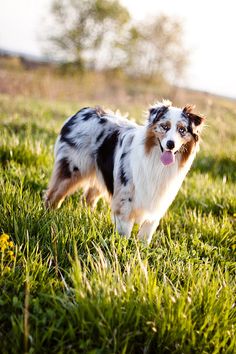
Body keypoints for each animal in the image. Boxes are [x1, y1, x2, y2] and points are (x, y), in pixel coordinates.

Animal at [45, 99, 204, 243]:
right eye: (165, 126)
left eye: (182, 130)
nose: (171, 144)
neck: (156, 161)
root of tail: (82, 111)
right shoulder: (125, 198)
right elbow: (124, 230)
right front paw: (122, 247)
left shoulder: (157, 202)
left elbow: (146, 233)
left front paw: (142, 250)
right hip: (73, 169)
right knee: (53, 194)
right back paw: (48, 216)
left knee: (87, 198)